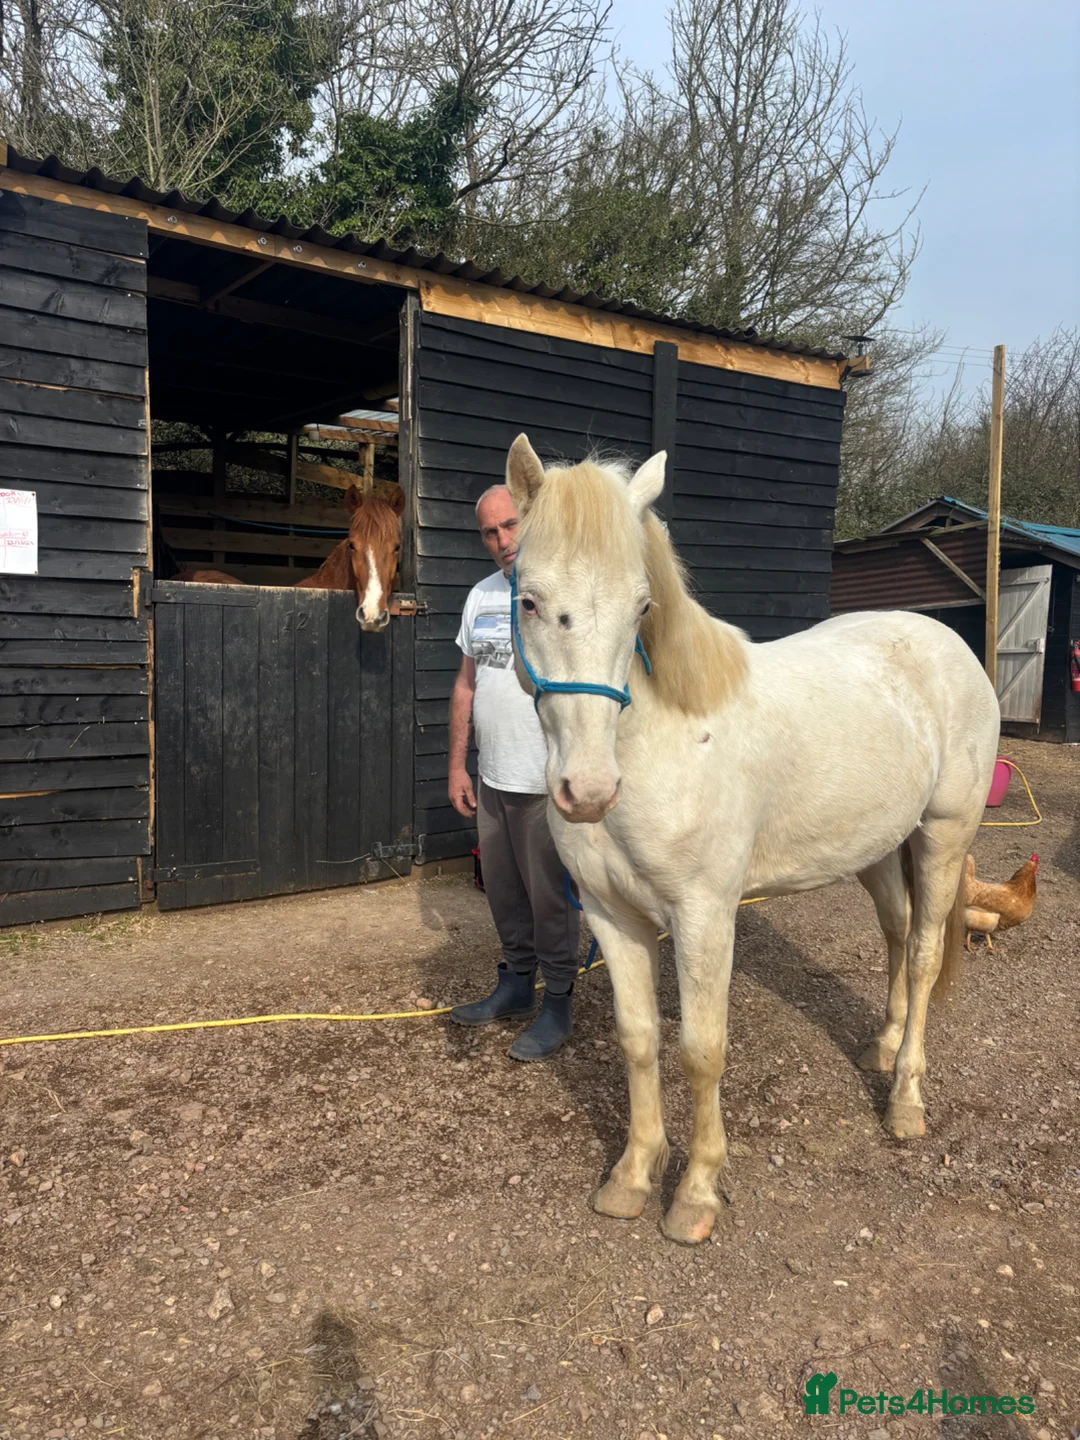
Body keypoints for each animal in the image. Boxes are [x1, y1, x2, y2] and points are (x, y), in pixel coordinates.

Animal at [504, 434, 1000, 1246]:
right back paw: (883, 1045)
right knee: (897, 935)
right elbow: (638, 1040)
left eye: (643, 605)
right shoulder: (613, 917)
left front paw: (696, 1192)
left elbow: (702, 1051)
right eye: (530, 600)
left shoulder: (705, 916)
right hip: (875, 849)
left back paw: (905, 1100)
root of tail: (947, 643)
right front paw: (632, 1176)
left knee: (926, 954)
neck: (662, 741)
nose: (589, 790)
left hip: (943, 836)